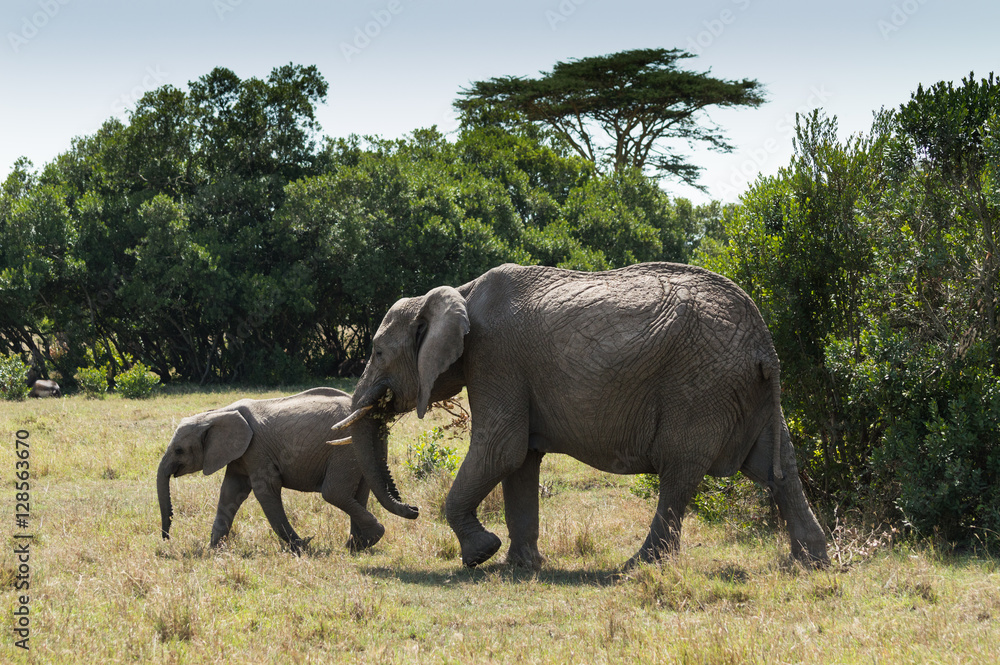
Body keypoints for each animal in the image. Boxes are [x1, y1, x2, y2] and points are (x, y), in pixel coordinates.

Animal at [157, 387, 384, 554]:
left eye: (179, 450)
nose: (166, 538)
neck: (216, 414)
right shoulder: (240, 454)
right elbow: (230, 492)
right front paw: (213, 550)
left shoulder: (256, 449)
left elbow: (265, 490)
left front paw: (302, 547)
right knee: (359, 493)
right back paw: (358, 546)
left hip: (345, 447)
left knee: (334, 493)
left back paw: (367, 539)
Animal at [332, 262, 829, 569]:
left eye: (377, 352)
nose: (412, 508)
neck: (457, 291)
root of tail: (765, 342)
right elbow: (520, 461)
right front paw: (521, 566)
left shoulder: (495, 359)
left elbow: (500, 448)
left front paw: (480, 555)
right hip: (743, 390)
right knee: (778, 469)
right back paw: (813, 563)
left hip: (701, 386)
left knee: (679, 471)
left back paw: (636, 567)